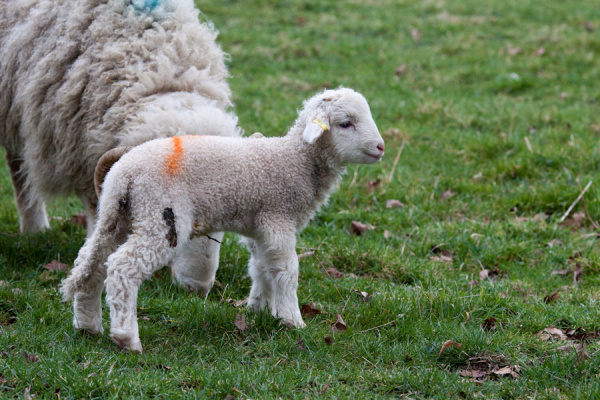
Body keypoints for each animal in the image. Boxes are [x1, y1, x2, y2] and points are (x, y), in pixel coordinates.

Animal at [57, 88, 384, 354]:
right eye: (345, 123)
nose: (381, 147)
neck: (294, 160)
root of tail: (123, 173)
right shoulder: (277, 218)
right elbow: (287, 270)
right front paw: (293, 320)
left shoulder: (259, 226)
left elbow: (261, 267)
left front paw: (259, 308)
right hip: (161, 217)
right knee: (123, 267)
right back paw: (126, 337)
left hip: (118, 217)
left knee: (92, 262)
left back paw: (88, 325)